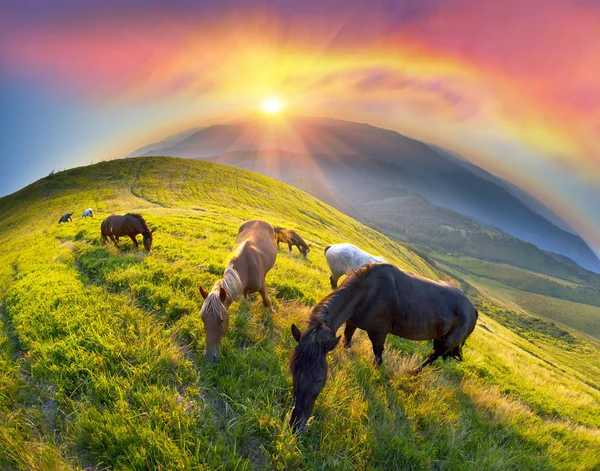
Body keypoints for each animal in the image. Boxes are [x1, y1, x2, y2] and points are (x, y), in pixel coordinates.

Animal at [200, 221, 278, 366]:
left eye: (221, 320)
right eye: (203, 318)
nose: (209, 358)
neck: (246, 266)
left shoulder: (261, 286)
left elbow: (266, 300)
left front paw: (272, 312)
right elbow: (245, 302)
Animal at [290, 264, 478, 434]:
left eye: (319, 379)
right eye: (293, 371)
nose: (296, 425)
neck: (367, 292)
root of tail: (473, 310)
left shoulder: (378, 333)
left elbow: (378, 355)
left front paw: (379, 375)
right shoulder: (352, 322)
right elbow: (347, 341)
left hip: (445, 343)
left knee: (433, 356)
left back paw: (413, 372)